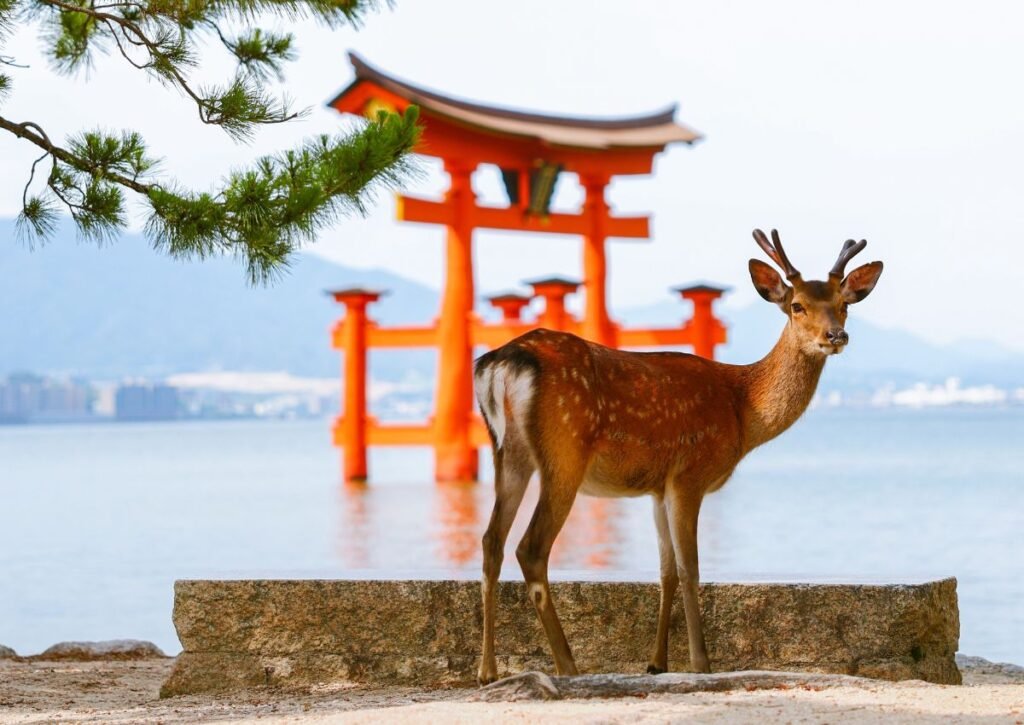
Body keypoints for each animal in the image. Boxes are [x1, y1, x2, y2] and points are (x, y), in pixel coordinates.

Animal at [472, 229, 884, 684]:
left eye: (843, 304)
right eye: (797, 305)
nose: (836, 336)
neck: (742, 410)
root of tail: (502, 362)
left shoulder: (658, 486)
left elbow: (666, 571)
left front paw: (657, 662)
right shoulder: (691, 473)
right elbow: (691, 569)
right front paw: (701, 663)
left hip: (508, 453)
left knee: (491, 541)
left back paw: (487, 670)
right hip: (564, 453)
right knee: (530, 548)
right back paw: (567, 665)